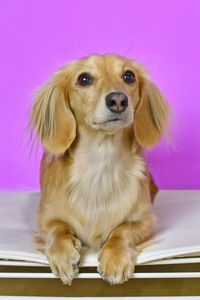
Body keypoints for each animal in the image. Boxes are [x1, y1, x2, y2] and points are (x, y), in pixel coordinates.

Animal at [29, 52, 169, 284]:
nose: (118, 100)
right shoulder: (44, 219)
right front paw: (63, 255)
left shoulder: (145, 221)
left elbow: (122, 230)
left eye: (129, 76)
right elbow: (57, 228)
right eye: (84, 79)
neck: (100, 164)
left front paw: (115, 257)